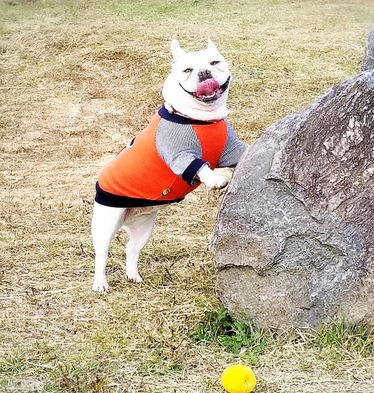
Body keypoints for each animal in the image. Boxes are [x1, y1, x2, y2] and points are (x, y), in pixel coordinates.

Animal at [91, 38, 247, 290]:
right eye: (187, 70)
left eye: (215, 62)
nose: (204, 72)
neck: (200, 119)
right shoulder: (179, 155)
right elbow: (200, 166)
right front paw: (215, 179)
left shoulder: (232, 150)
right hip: (107, 221)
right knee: (101, 254)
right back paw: (100, 284)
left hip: (144, 227)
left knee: (131, 248)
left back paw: (133, 276)